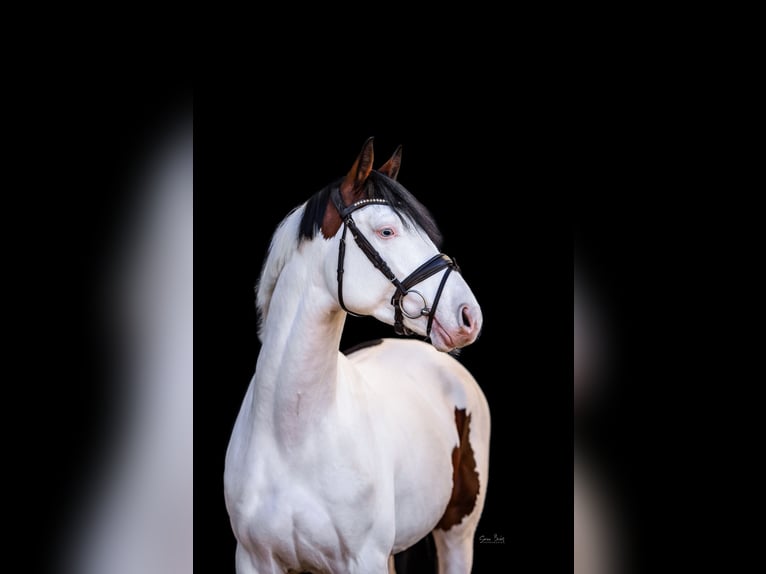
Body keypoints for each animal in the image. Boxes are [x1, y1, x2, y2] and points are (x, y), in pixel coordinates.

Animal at [224, 138, 491, 574]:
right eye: (386, 230)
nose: (469, 316)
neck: (292, 440)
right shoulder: (254, 560)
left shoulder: (364, 559)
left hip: (457, 535)